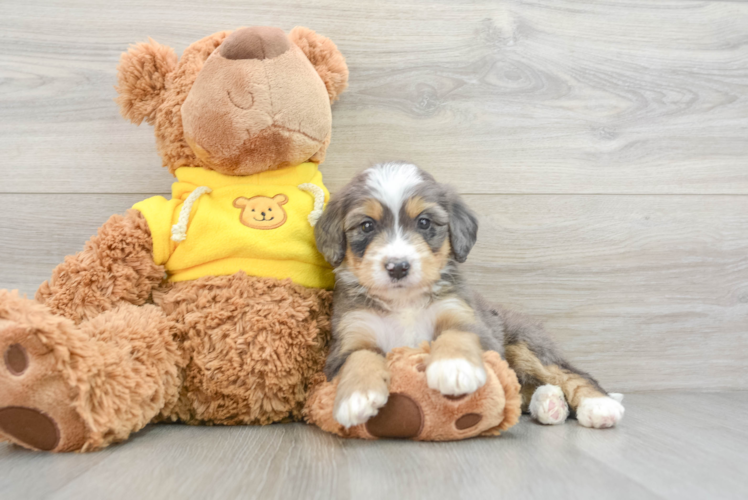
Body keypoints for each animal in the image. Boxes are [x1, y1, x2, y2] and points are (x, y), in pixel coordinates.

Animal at [316, 163, 624, 430]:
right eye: (367, 226)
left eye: (424, 222)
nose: (398, 267)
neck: (404, 303)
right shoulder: (349, 337)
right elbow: (360, 358)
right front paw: (356, 398)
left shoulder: (467, 317)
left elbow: (457, 333)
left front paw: (454, 368)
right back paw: (549, 404)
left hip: (525, 343)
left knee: (569, 373)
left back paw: (598, 405)